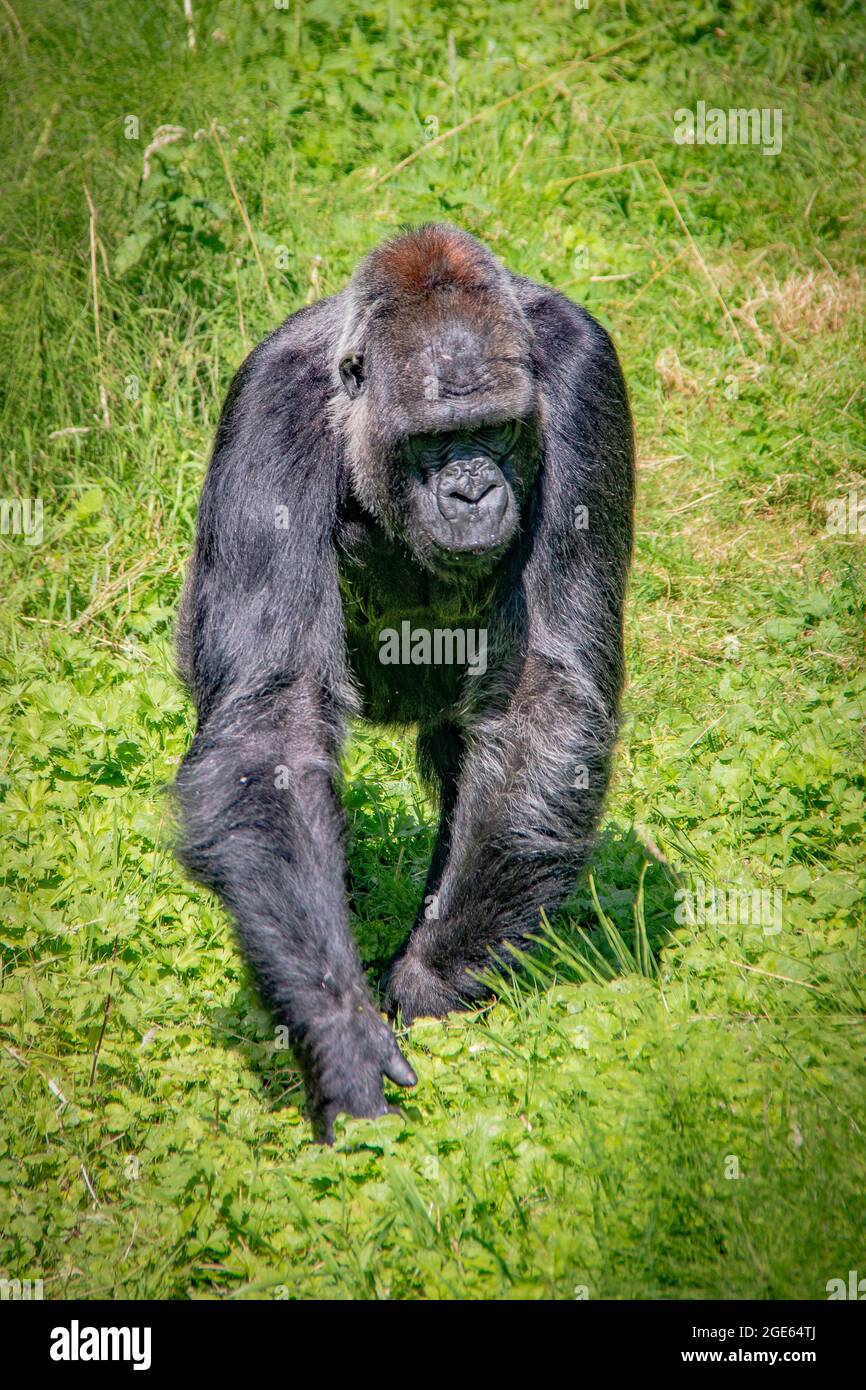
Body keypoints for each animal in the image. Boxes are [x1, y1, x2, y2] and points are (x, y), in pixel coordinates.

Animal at [176, 225, 636, 1139]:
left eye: (495, 431)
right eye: (433, 441)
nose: (472, 490)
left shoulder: (581, 378)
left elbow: (544, 690)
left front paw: (431, 978)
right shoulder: (270, 408)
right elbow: (273, 722)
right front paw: (337, 1031)